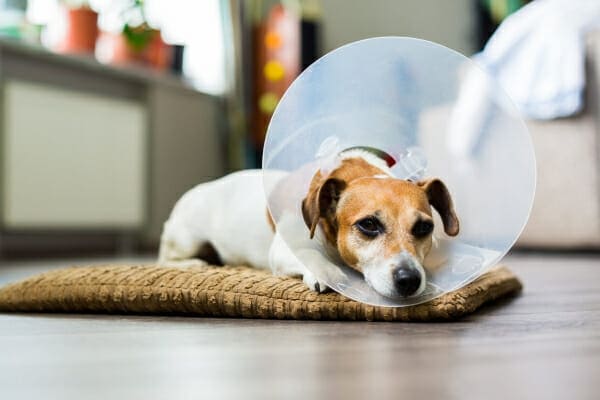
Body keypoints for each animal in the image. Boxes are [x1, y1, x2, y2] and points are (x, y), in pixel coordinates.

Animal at [159, 148, 460, 298]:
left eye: (424, 228)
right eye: (369, 225)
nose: (409, 280)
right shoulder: (285, 248)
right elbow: (310, 256)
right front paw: (327, 273)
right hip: (186, 239)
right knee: (166, 259)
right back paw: (196, 264)